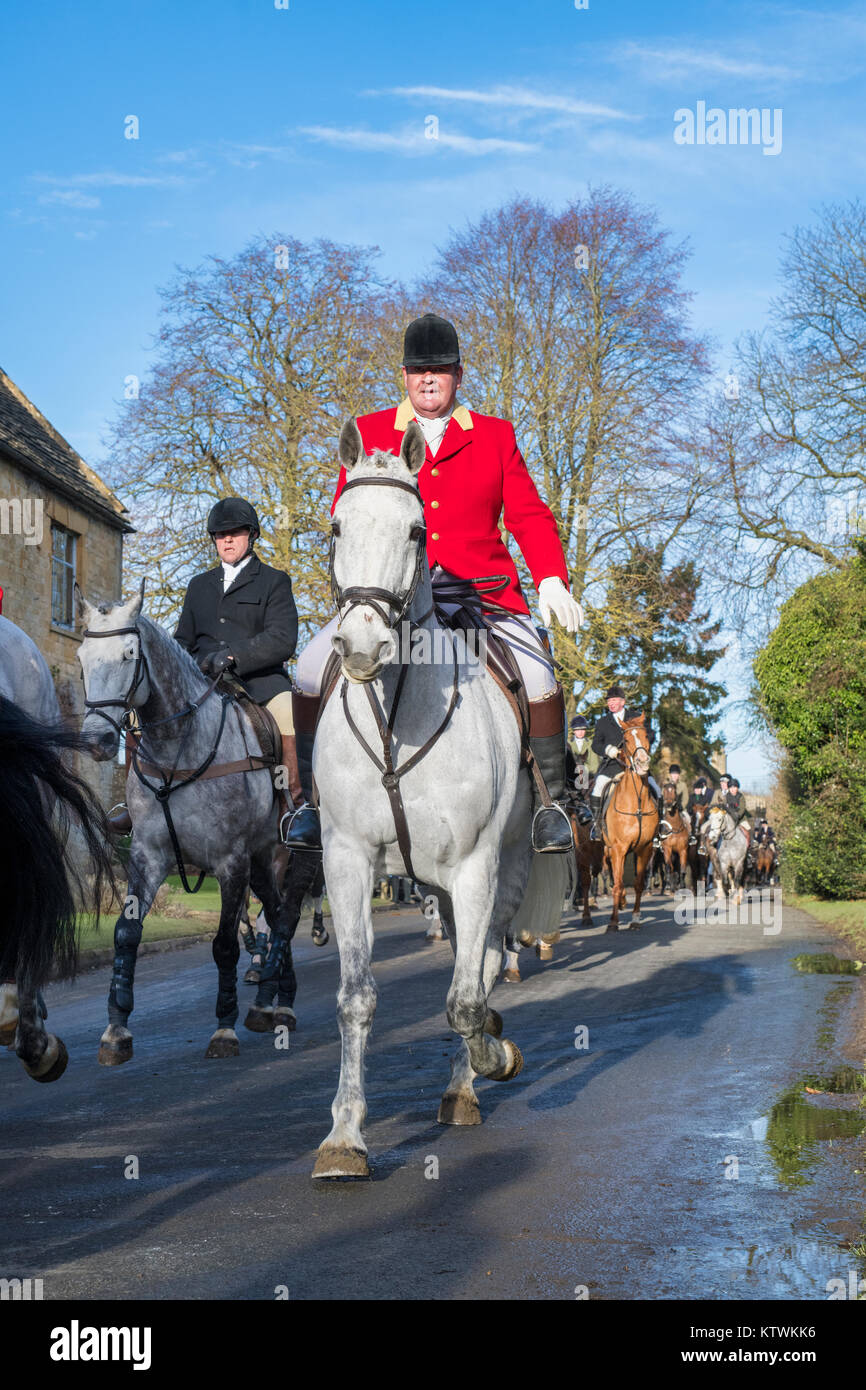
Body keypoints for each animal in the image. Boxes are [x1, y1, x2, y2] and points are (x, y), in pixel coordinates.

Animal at [78, 586, 301, 1061]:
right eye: (83, 656)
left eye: (128, 655)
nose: (97, 742)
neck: (176, 749)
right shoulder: (148, 856)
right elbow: (126, 933)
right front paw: (116, 1029)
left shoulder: (230, 861)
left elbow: (224, 945)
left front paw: (223, 1028)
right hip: (259, 862)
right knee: (274, 915)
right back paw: (267, 1003)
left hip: (273, 855)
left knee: (281, 918)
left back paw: (282, 1004)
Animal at [311, 417, 569, 1178]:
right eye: (337, 526)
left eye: (416, 531)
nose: (360, 646)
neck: (397, 711)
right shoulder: (346, 859)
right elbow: (356, 998)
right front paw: (344, 1136)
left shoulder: (475, 866)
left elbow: (463, 998)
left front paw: (491, 1055)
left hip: (503, 868)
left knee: (479, 969)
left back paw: (469, 1081)